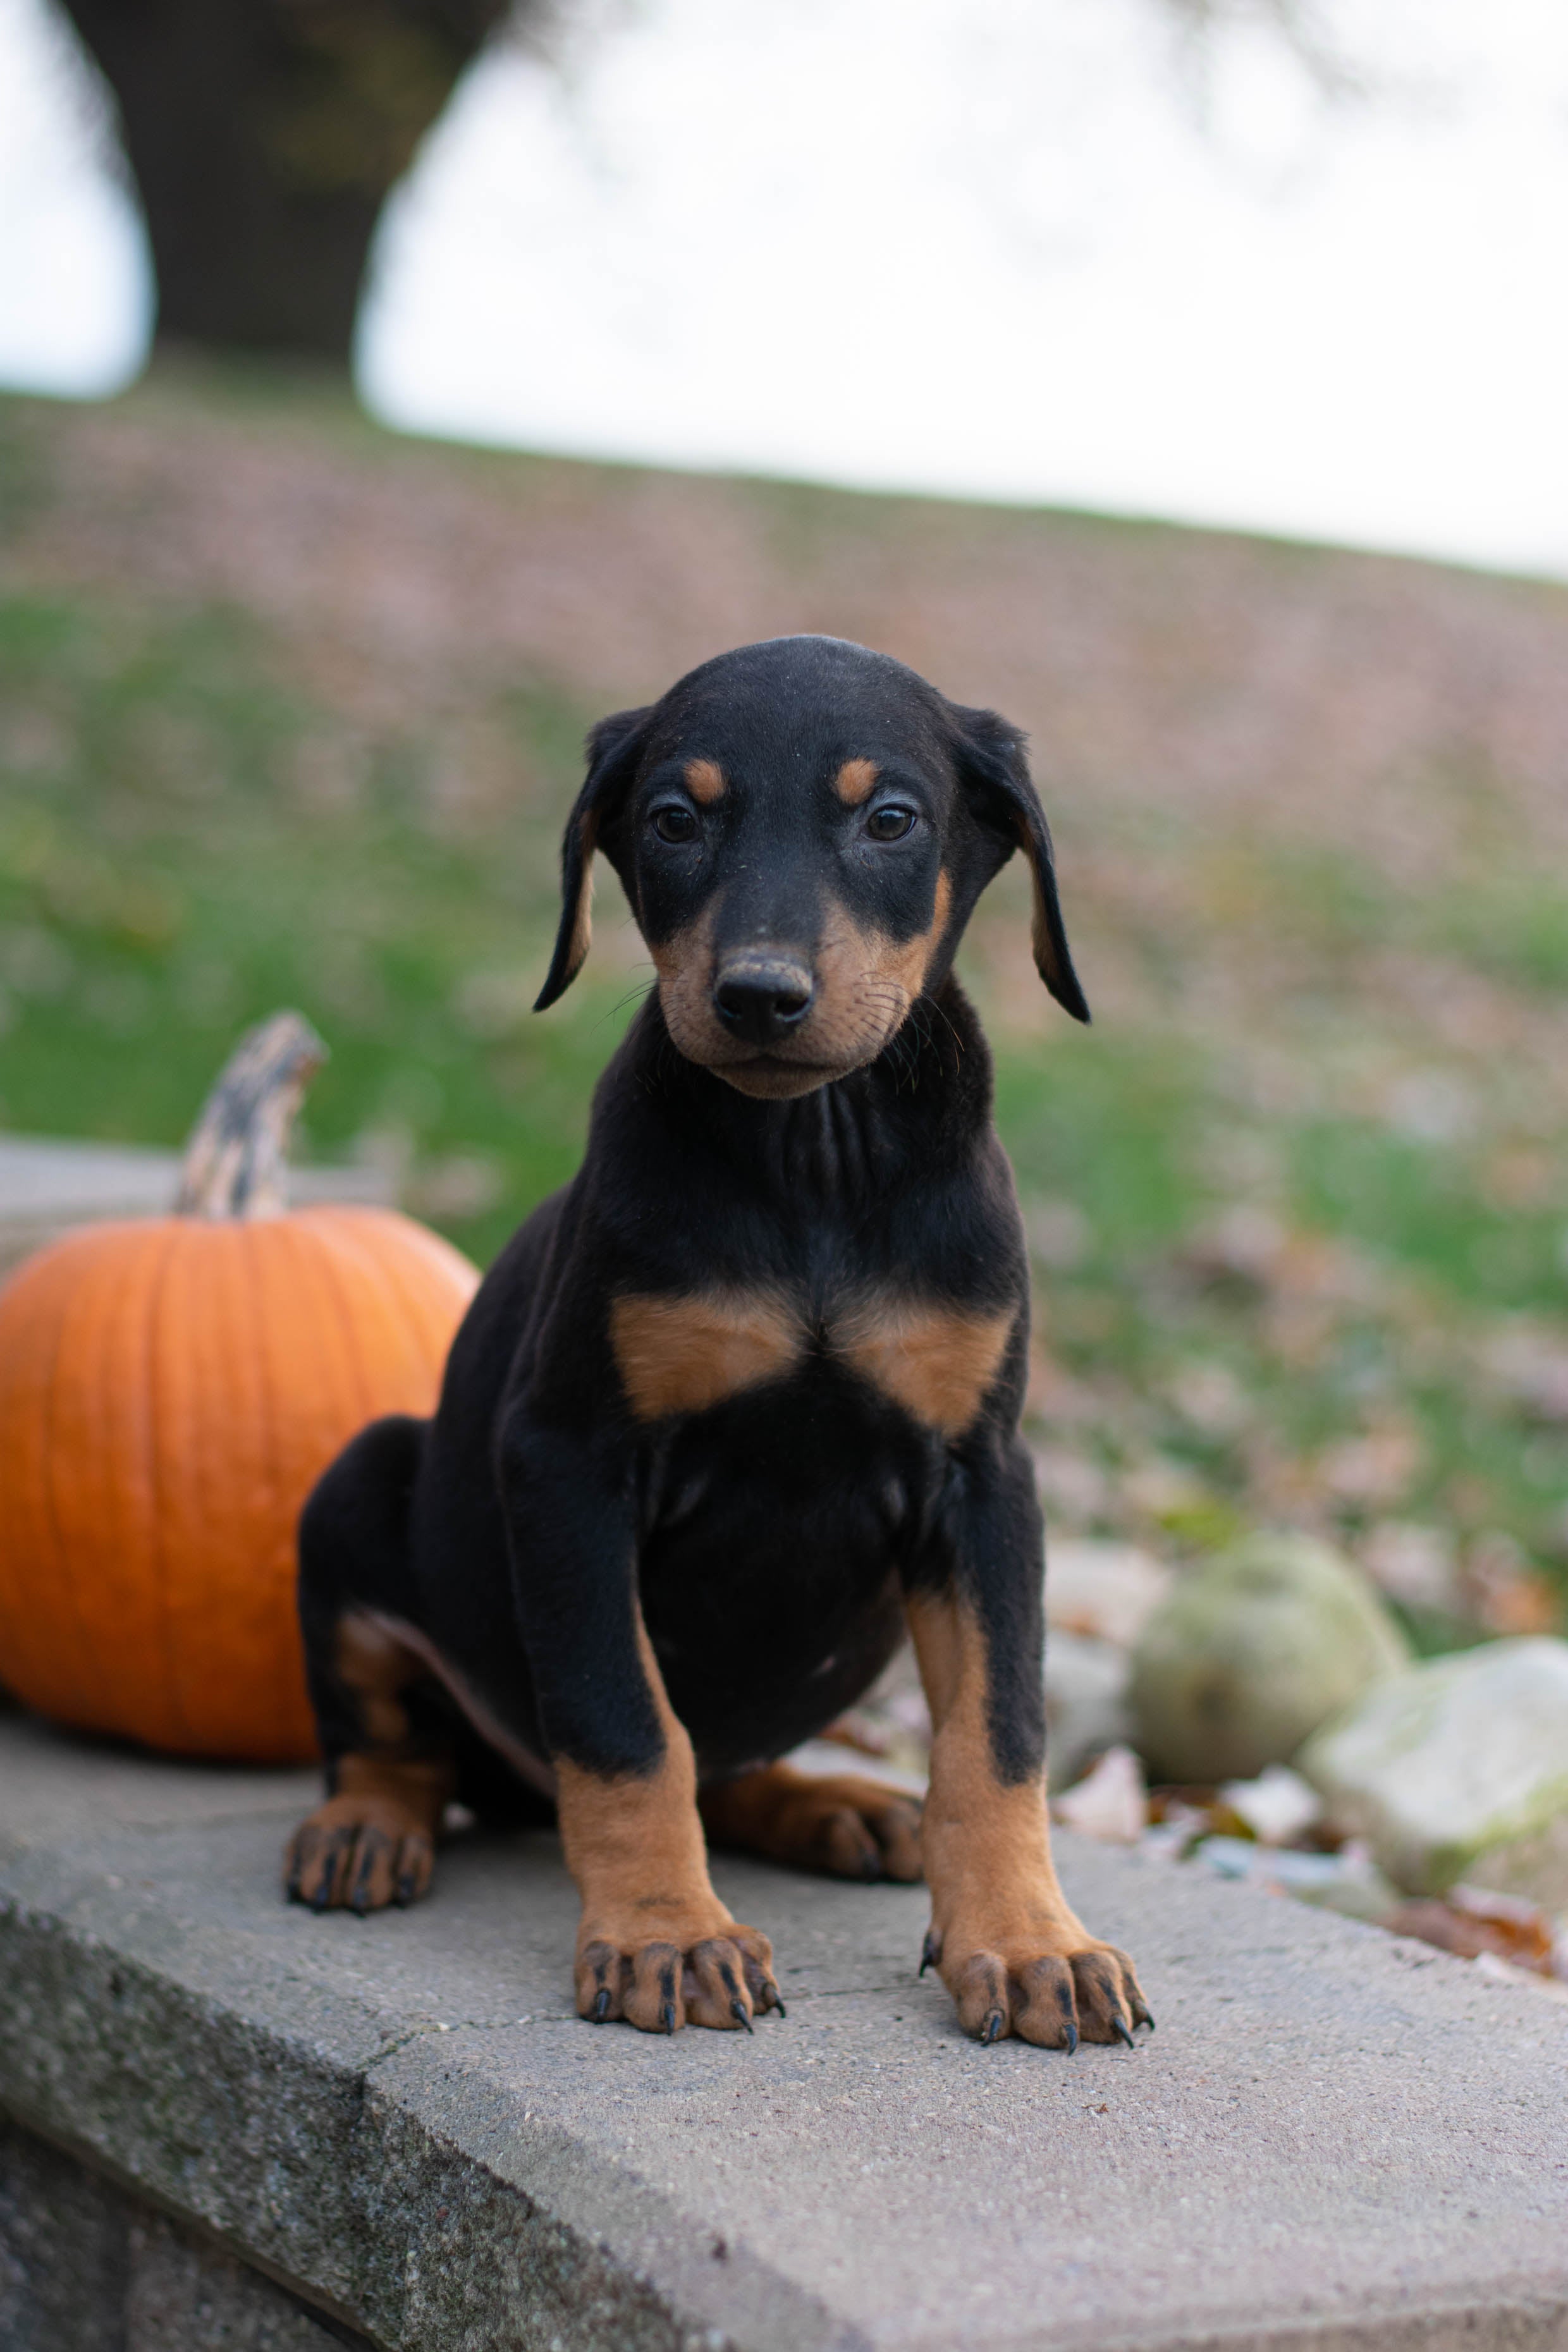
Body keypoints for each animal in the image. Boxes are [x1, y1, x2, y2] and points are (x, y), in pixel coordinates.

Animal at [285, 635, 1151, 2050]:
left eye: (890, 819)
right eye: (672, 821)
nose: (758, 996)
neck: (813, 1158)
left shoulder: (982, 1476)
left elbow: (997, 1735)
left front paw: (1032, 1945)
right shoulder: (568, 1458)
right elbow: (627, 1724)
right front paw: (666, 1936)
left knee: (737, 1755)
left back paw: (833, 1806)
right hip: (364, 1476)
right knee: (397, 1737)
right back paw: (364, 1828)